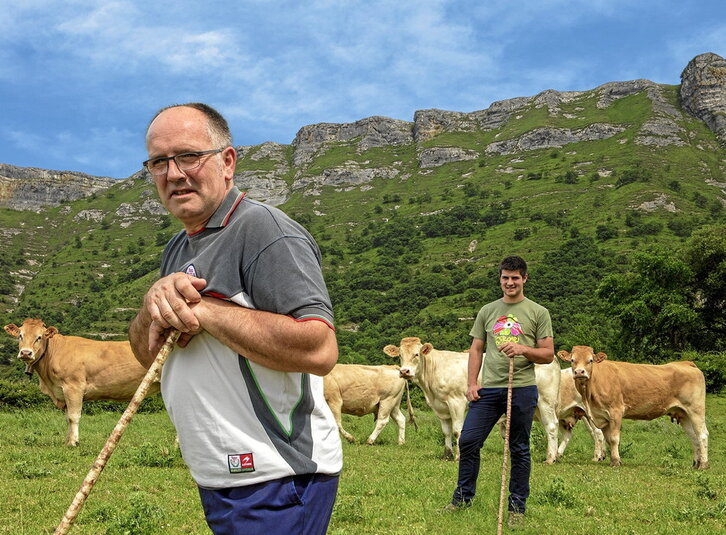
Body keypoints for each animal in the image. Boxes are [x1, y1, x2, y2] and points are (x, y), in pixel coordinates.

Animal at [386, 338, 564, 462]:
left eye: (416, 354)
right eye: (400, 355)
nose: (404, 371)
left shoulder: (456, 401)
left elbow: (457, 430)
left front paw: (458, 457)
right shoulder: (440, 406)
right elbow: (446, 432)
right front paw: (447, 455)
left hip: (545, 401)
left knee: (551, 426)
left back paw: (550, 458)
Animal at [556, 348, 712, 468]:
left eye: (590, 360)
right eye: (572, 360)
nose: (579, 372)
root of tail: (686, 363)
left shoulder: (616, 411)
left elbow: (614, 438)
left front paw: (616, 462)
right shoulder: (602, 416)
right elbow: (608, 438)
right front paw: (613, 460)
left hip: (696, 410)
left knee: (702, 434)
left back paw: (703, 464)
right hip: (683, 413)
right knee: (693, 437)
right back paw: (696, 463)